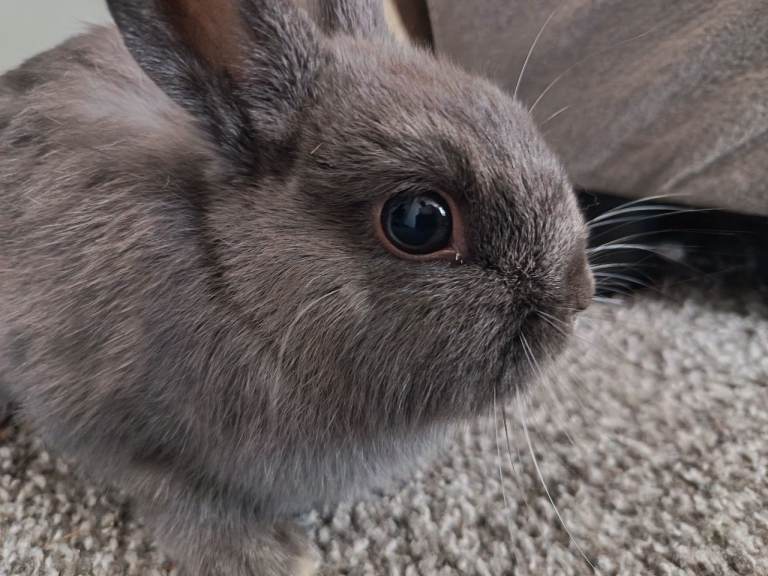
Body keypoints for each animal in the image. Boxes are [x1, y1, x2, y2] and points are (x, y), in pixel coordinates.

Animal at [0, 0, 594, 574]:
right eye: (418, 221)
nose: (577, 298)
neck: (237, 287)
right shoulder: (96, 417)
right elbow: (167, 489)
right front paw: (268, 557)